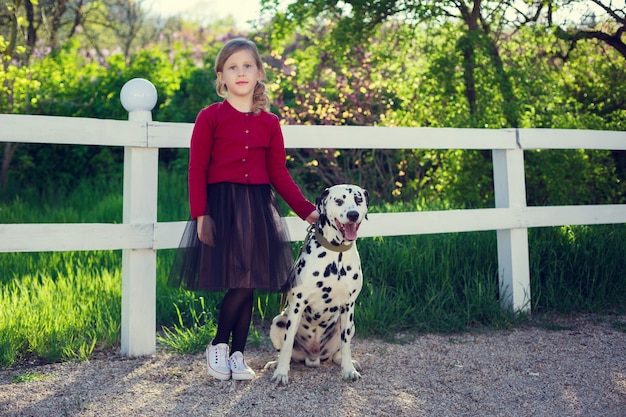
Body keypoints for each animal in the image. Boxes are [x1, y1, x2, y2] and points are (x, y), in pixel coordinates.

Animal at [262, 184, 366, 386]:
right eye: (339, 201)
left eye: (358, 200)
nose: (353, 215)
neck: (336, 255)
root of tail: (313, 357)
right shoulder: (297, 304)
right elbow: (287, 343)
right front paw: (281, 373)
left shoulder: (348, 306)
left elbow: (346, 344)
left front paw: (348, 370)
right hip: (278, 322)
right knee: (285, 350)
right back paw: (275, 363)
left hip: (350, 324)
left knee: (339, 349)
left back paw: (345, 361)